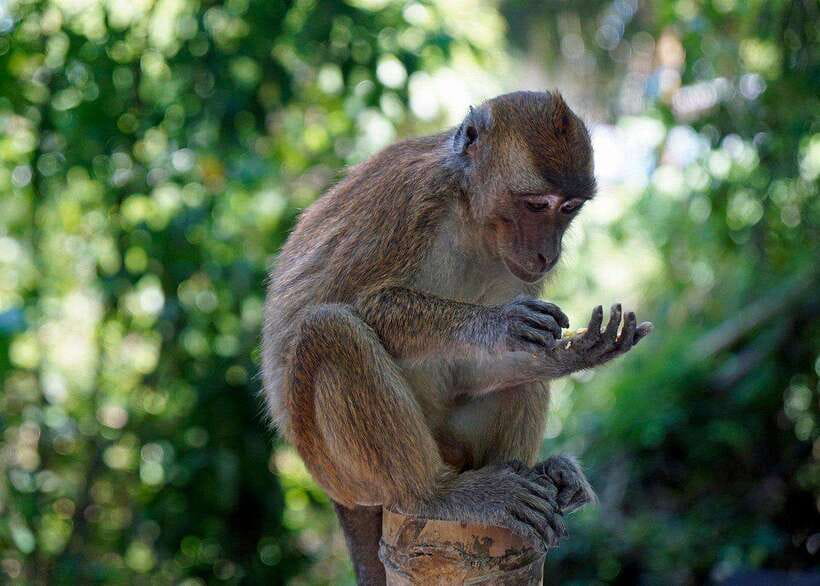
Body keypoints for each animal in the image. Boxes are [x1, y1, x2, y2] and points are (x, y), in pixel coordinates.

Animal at [261, 90, 652, 584]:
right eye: (536, 204)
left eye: (569, 207)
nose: (548, 253)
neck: (470, 213)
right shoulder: (412, 199)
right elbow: (358, 301)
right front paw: (498, 323)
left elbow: (496, 359)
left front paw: (577, 352)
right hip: (337, 467)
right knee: (329, 329)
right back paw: (435, 494)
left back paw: (541, 473)